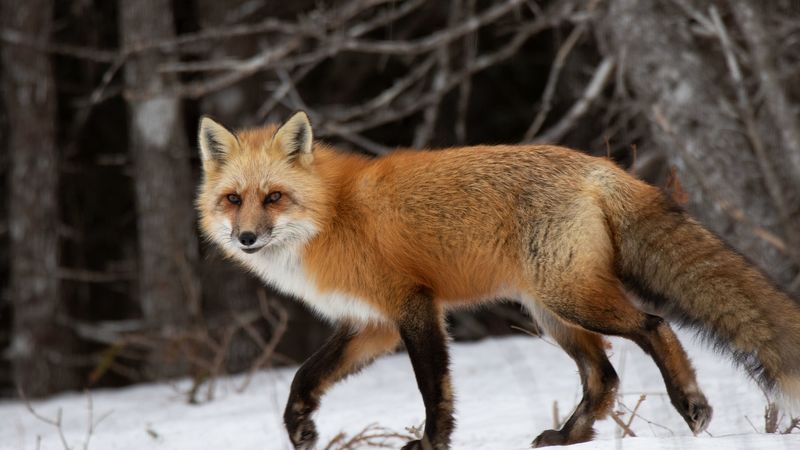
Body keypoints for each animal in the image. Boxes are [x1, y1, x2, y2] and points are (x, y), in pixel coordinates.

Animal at [196, 111, 800, 449]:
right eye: (234, 200)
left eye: (274, 197)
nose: (246, 238)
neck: (332, 212)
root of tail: (597, 165)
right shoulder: (372, 323)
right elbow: (304, 379)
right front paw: (300, 430)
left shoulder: (413, 304)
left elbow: (433, 387)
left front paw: (432, 442)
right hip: (551, 312)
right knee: (602, 375)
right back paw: (569, 437)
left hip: (572, 299)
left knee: (653, 326)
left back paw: (690, 405)